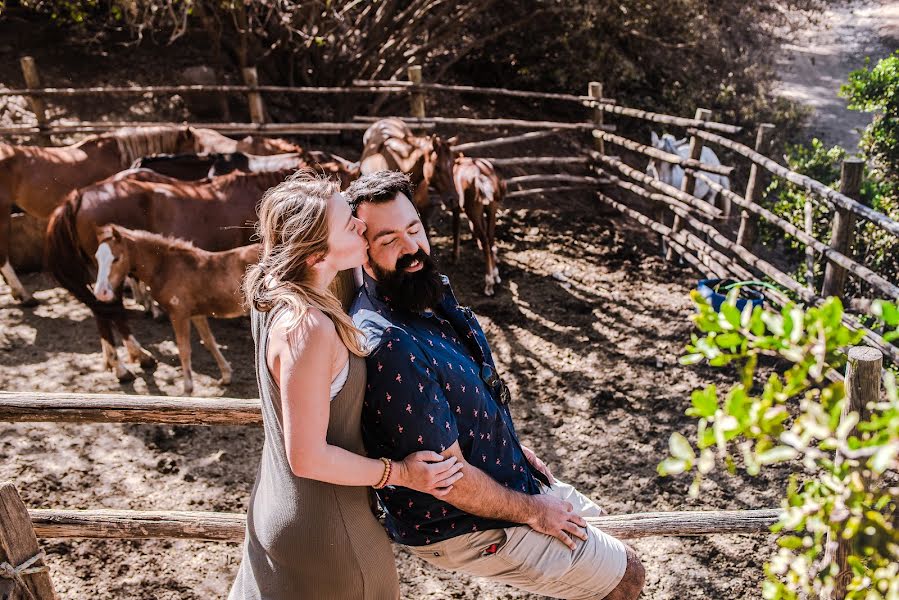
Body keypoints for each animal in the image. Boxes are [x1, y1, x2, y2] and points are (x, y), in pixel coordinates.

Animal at [93, 224, 258, 394]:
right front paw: (226, 375)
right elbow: (209, 341)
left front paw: (187, 388)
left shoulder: (178, 314)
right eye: (97, 257)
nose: (100, 293)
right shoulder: (196, 314)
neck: (166, 267)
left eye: (116, 258)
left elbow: (183, 348)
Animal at [450, 155, 506, 296]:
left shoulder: (456, 206)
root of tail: (480, 175)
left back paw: (489, 284)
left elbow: (456, 228)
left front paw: (455, 257)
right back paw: (495, 275)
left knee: (485, 239)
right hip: (491, 207)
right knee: (490, 236)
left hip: (472, 209)